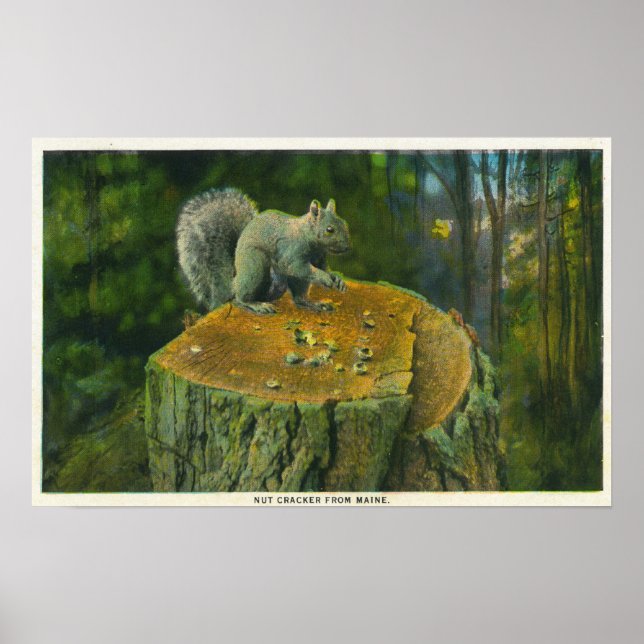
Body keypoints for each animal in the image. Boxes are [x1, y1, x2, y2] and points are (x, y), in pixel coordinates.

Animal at [176, 188, 351, 315]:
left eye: (344, 223)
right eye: (329, 229)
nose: (348, 247)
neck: (307, 235)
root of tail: (233, 281)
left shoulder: (319, 257)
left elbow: (323, 268)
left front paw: (337, 278)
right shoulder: (291, 251)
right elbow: (297, 267)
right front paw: (324, 277)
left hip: (286, 281)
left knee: (299, 298)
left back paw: (316, 304)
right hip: (255, 266)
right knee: (240, 298)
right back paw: (256, 305)